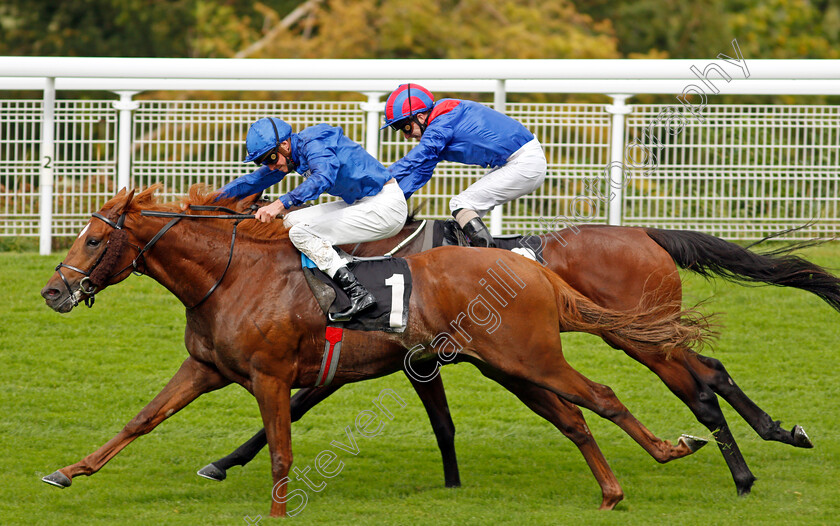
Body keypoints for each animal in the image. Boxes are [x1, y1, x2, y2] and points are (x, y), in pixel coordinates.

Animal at [202, 207, 832, 500]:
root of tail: (645, 233)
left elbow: (296, 403)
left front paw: (225, 459)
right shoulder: (412, 355)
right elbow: (437, 419)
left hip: (637, 335)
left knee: (699, 389)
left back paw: (742, 470)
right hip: (644, 334)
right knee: (712, 372)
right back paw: (777, 435)